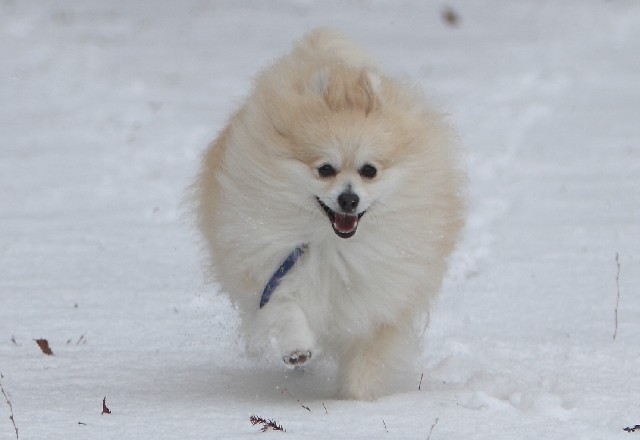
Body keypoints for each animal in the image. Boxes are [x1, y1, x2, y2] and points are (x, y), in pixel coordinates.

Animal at [195, 28, 464, 400]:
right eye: (325, 169)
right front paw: (296, 348)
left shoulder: (384, 297)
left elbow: (369, 355)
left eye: (369, 170)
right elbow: (284, 307)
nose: (348, 199)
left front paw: (353, 400)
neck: (335, 245)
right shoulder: (269, 266)